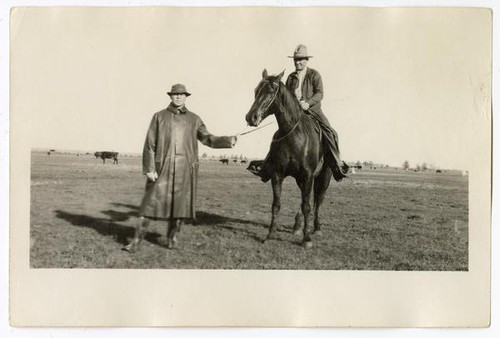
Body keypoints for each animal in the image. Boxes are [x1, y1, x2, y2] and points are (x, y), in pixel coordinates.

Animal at [245, 68, 332, 248]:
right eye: (256, 91)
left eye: (271, 91)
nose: (251, 117)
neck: (293, 134)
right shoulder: (277, 175)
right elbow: (276, 205)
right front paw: (270, 235)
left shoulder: (308, 176)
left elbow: (307, 206)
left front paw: (307, 239)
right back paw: (297, 227)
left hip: (323, 177)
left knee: (318, 201)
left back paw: (316, 228)